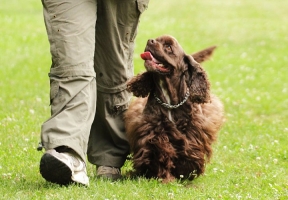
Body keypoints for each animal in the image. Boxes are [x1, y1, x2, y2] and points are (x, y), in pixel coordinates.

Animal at [125, 35, 224, 182]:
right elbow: (158, 152)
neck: (170, 100)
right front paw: (162, 176)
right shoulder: (154, 131)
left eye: (168, 47)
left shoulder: (192, 131)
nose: (150, 40)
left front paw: (185, 173)